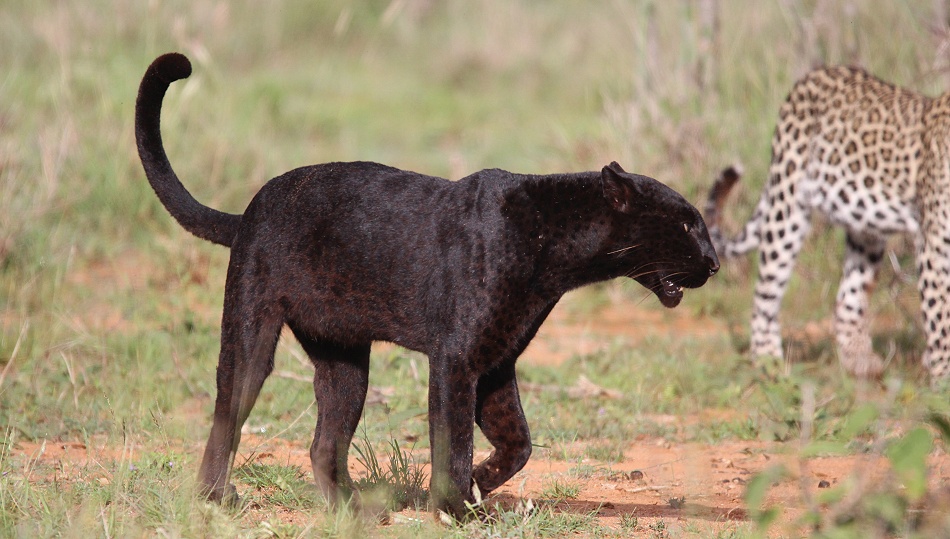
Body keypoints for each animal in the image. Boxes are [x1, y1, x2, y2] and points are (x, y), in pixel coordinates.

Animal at [135, 52, 720, 518]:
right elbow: (453, 437)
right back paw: (217, 498)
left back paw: (355, 511)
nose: (715, 263)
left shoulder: (497, 359)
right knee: (228, 416)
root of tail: (249, 210)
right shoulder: (457, 356)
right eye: (688, 224)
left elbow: (519, 442)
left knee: (324, 444)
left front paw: (477, 488)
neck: (556, 244)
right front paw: (456, 506)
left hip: (345, 363)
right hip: (253, 335)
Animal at [705, 64, 950, 380]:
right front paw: (943, 378)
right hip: (787, 204)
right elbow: (941, 318)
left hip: (866, 228)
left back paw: (859, 360)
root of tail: (817, 72)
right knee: (766, 293)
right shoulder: (935, 246)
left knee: (848, 296)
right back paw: (768, 360)